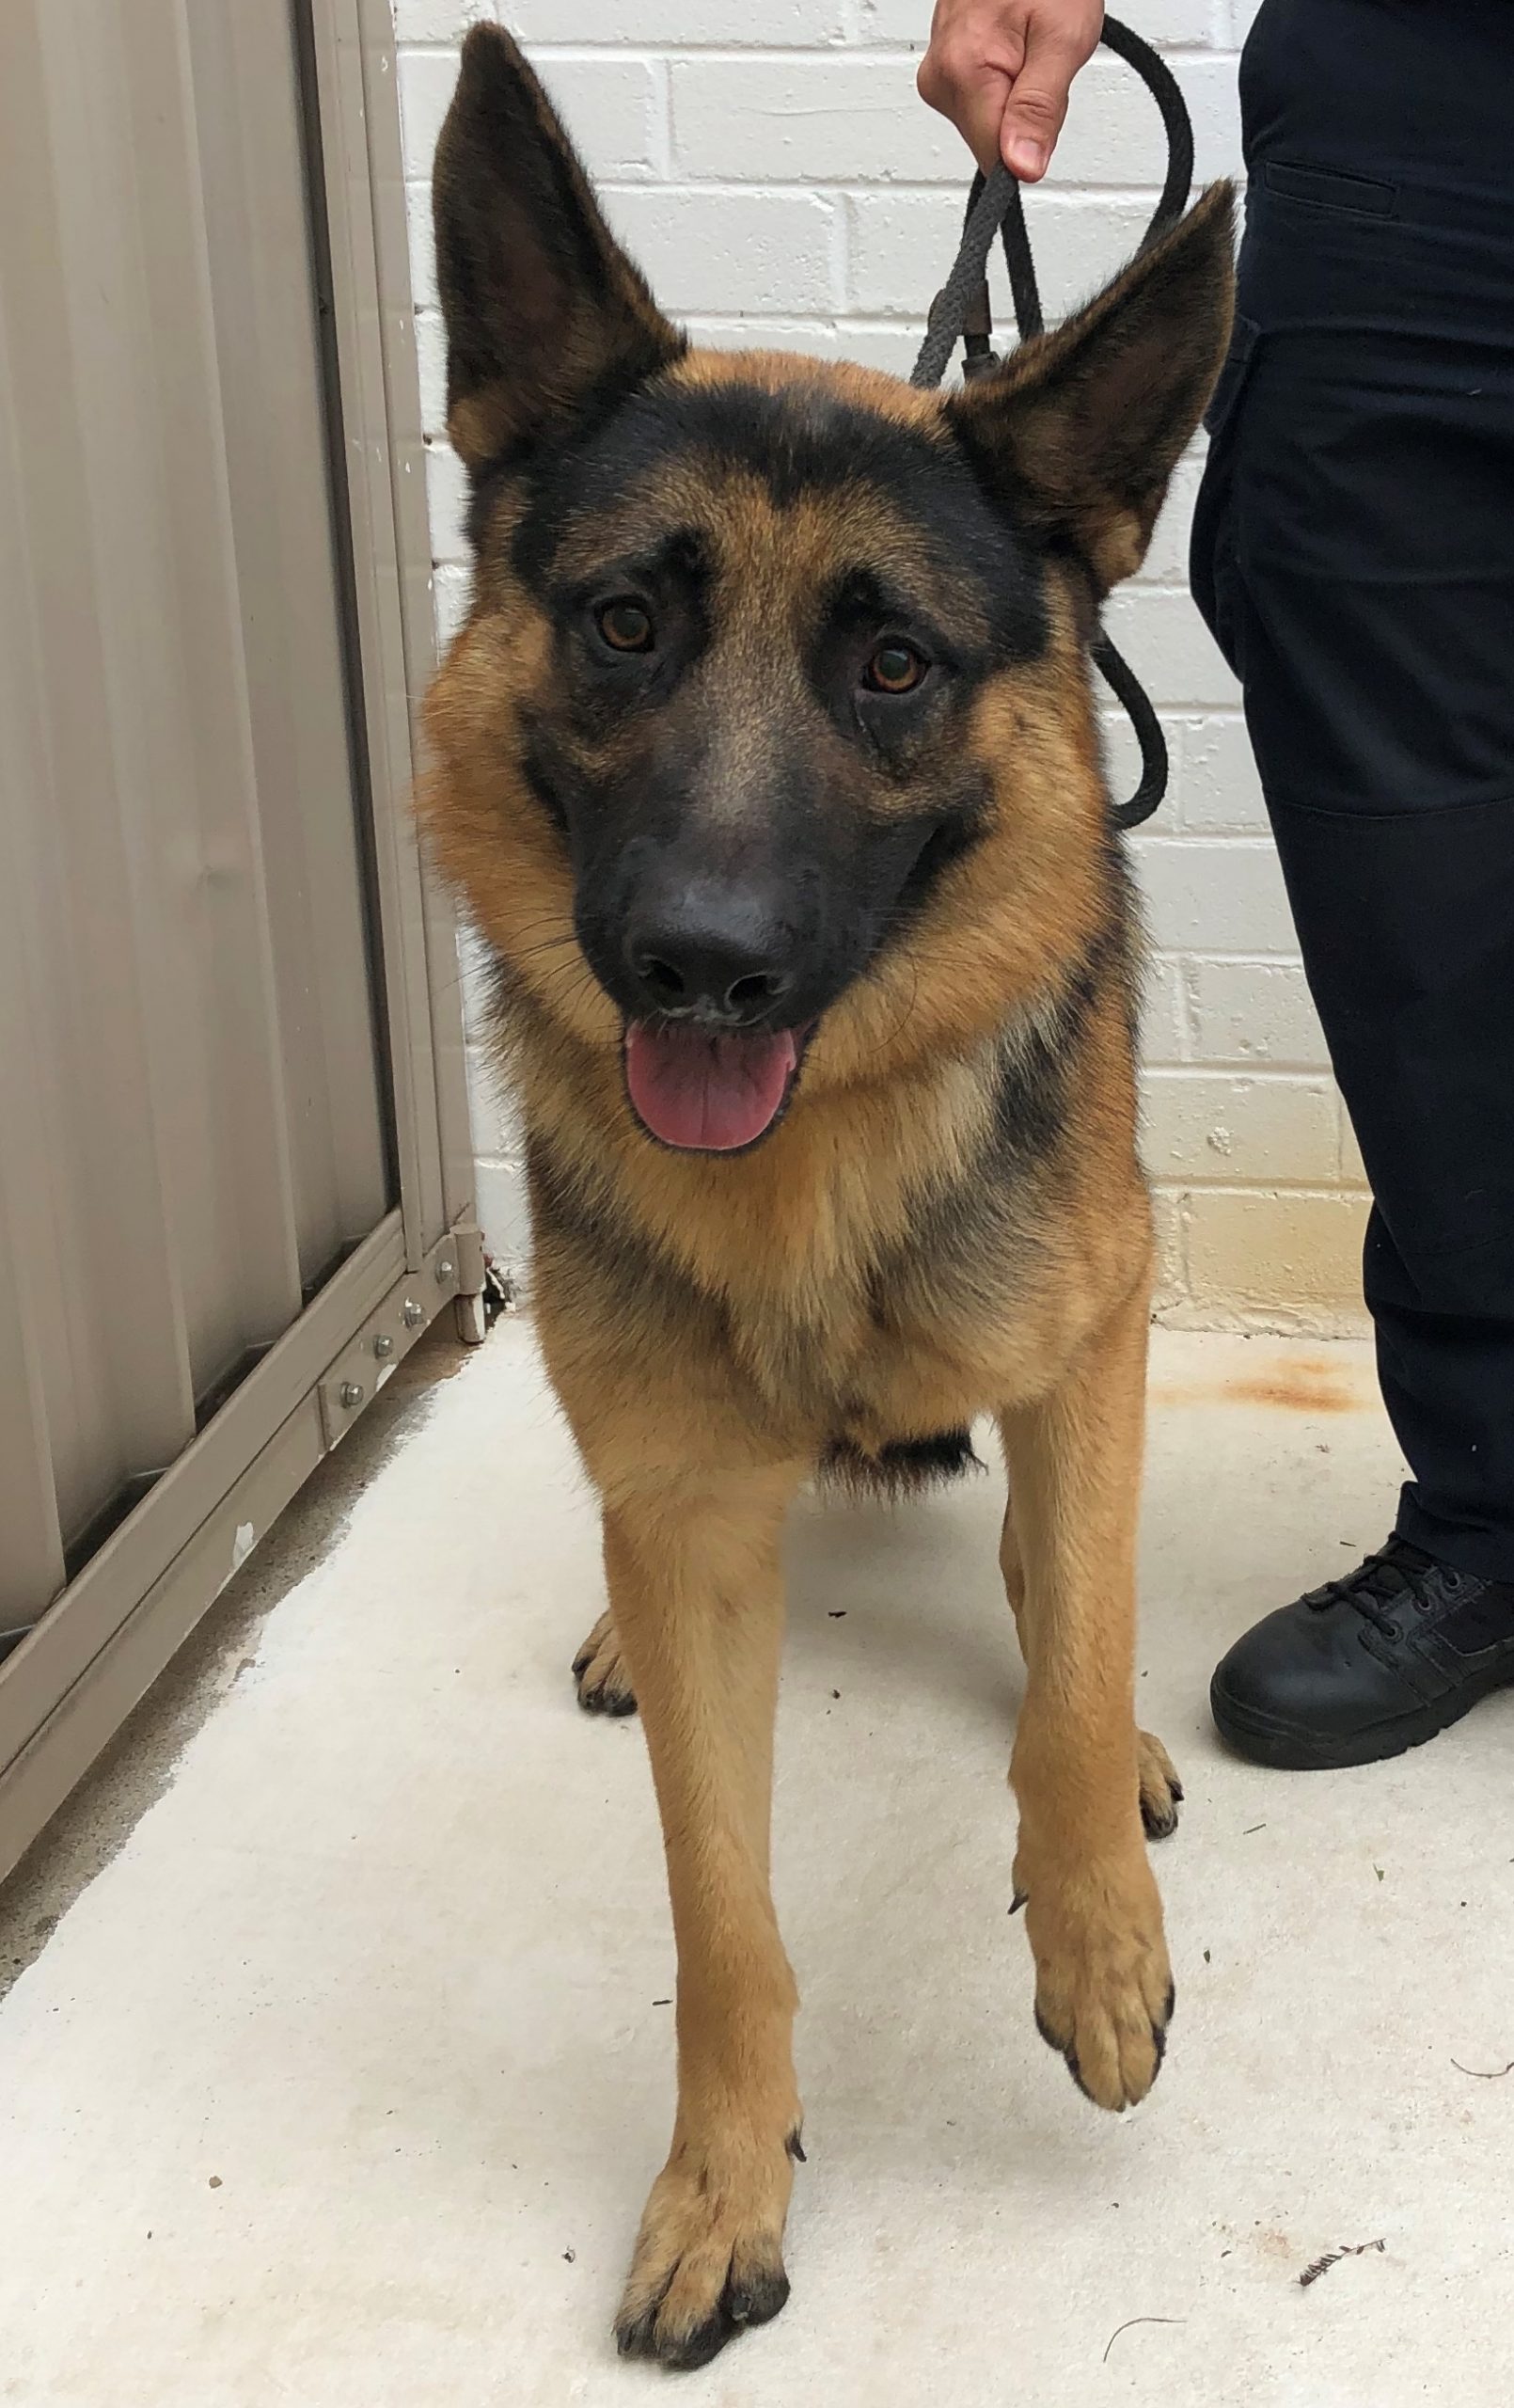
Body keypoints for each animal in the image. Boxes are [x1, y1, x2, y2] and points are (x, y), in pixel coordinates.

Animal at [422, 24, 1234, 2373]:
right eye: (621, 622)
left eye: (891, 668)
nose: (695, 965)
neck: (810, 1177)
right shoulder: (694, 1513)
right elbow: (719, 1907)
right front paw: (722, 2181)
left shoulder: (1091, 1334)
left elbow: (1069, 1656)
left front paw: (1096, 1928)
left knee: (1069, 1585)